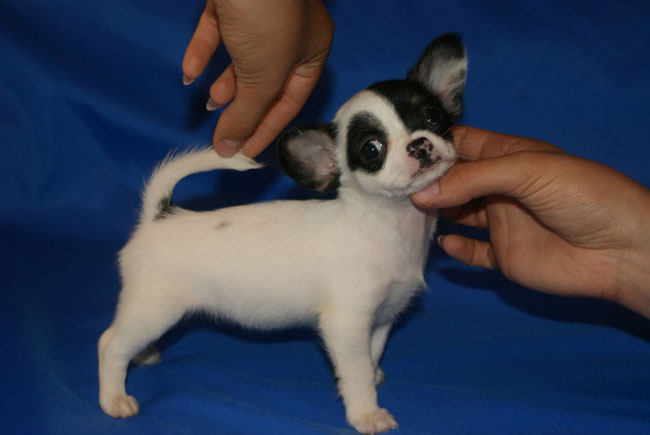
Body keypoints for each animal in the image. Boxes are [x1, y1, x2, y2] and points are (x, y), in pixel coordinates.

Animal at [98, 33, 467, 434]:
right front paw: (367, 414)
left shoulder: (382, 318)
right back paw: (114, 399)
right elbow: (356, 374)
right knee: (110, 343)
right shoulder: (346, 324)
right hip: (155, 309)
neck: (389, 224)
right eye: (372, 150)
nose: (420, 144)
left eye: (433, 118)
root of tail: (159, 215)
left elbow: (372, 355)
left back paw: (143, 356)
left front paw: (373, 375)